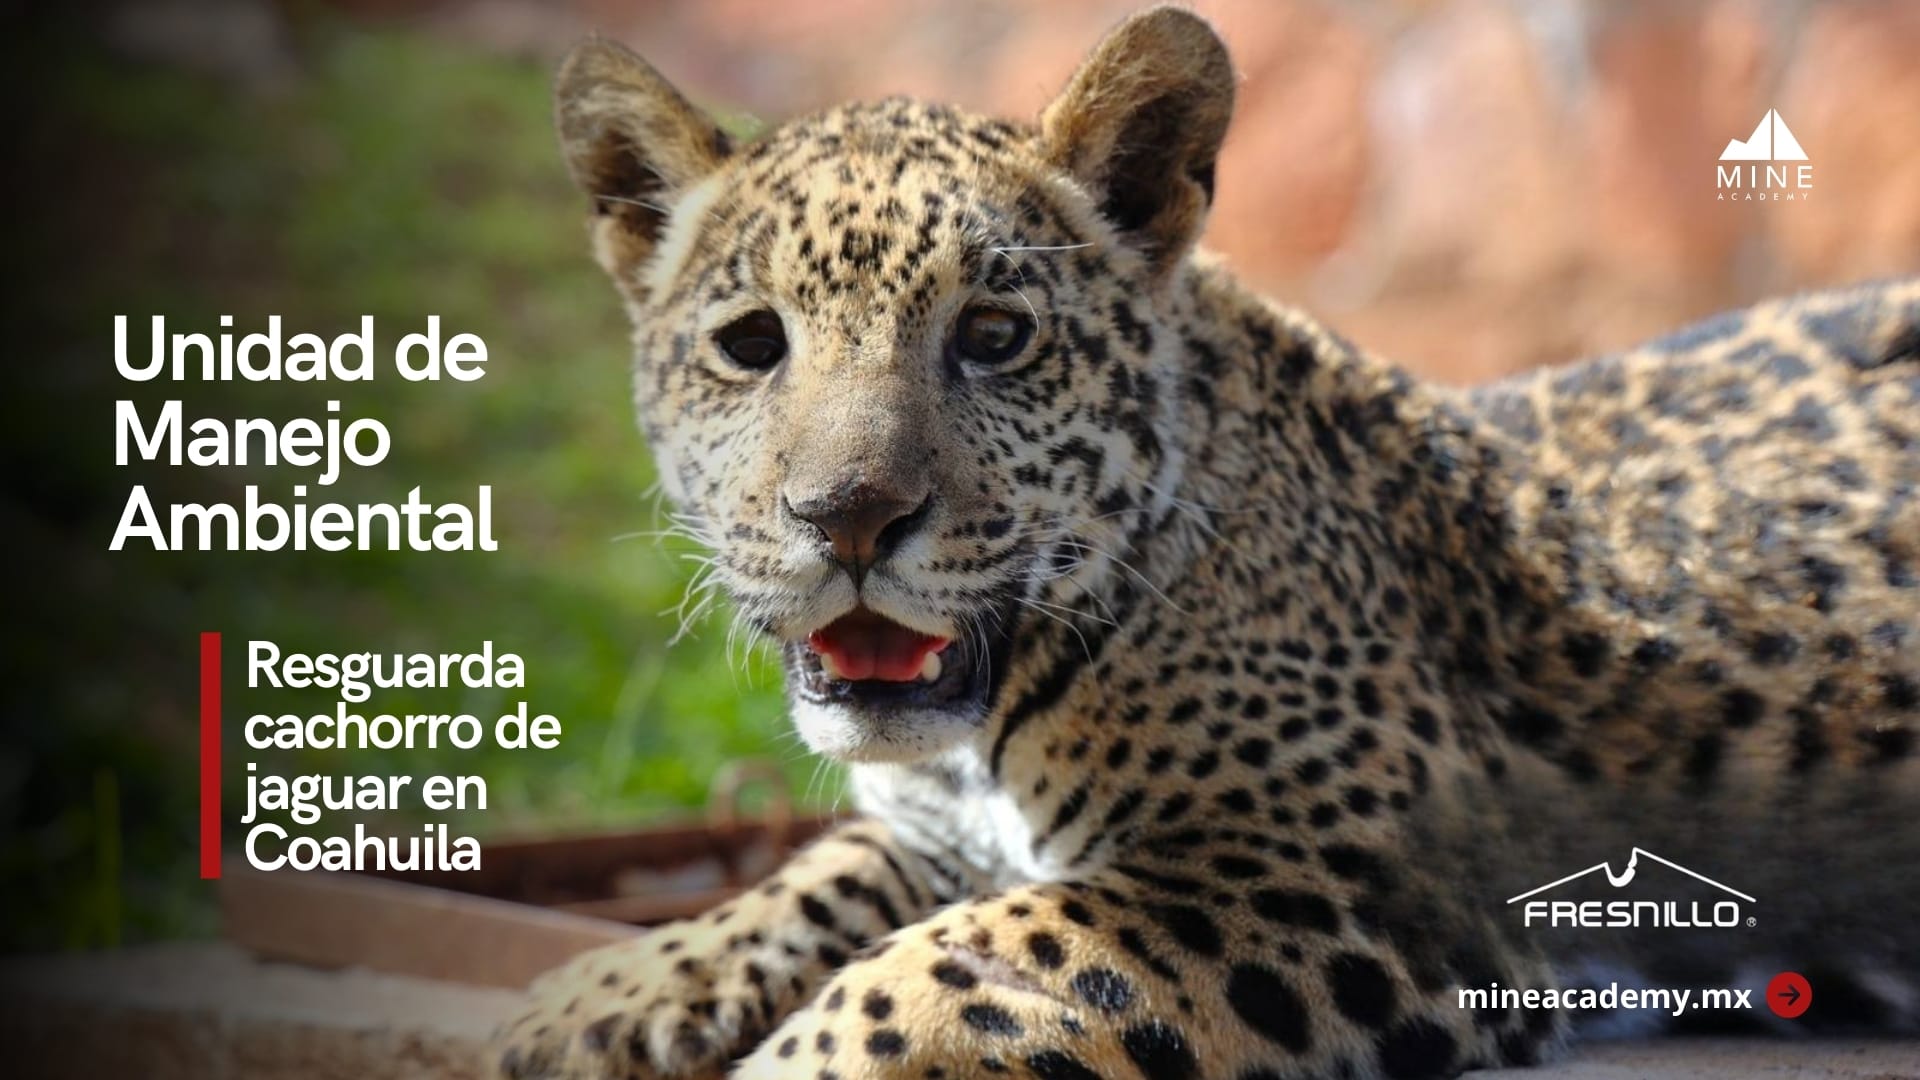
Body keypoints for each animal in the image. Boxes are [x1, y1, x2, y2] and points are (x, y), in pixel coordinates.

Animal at [493, 8, 1920, 1079]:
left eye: (994, 336)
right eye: (751, 345)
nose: (845, 518)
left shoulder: (1327, 871)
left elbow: (943, 970)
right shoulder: (931, 829)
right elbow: (813, 879)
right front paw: (600, 993)